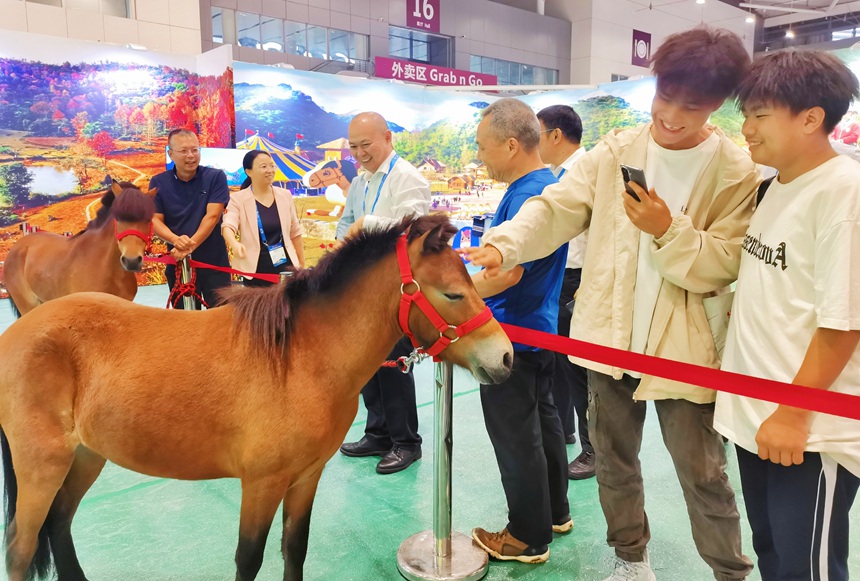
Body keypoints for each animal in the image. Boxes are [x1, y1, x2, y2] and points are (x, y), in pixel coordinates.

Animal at [0, 213, 510, 580]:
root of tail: (19, 332)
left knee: (59, 524)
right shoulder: (262, 485)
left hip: (86, 456)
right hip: (42, 467)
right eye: (452, 294)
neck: (299, 358)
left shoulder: (305, 479)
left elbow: (294, 550)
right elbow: (249, 558)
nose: (504, 357)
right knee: (22, 550)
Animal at [2, 181, 156, 318]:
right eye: (117, 218)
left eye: (148, 219)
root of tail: (18, 246)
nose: (131, 261)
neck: (104, 266)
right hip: (28, 305)